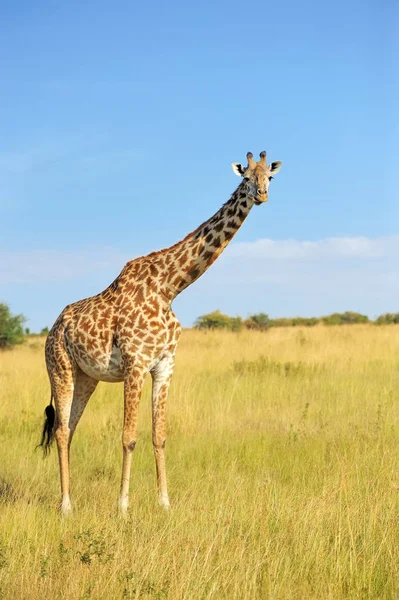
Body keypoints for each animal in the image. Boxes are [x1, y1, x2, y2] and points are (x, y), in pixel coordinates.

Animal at [39, 151, 282, 516]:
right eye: (245, 177)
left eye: (270, 176)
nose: (262, 195)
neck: (169, 288)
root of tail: (54, 327)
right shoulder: (136, 364)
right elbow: (129, 437)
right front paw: (123, 507)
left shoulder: (165, 365)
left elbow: (160, 435)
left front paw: (165, 503)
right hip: (60, 368)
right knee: (61, 429)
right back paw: (66, 506)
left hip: (87, 377)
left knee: (68, 427)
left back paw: (69, 501)